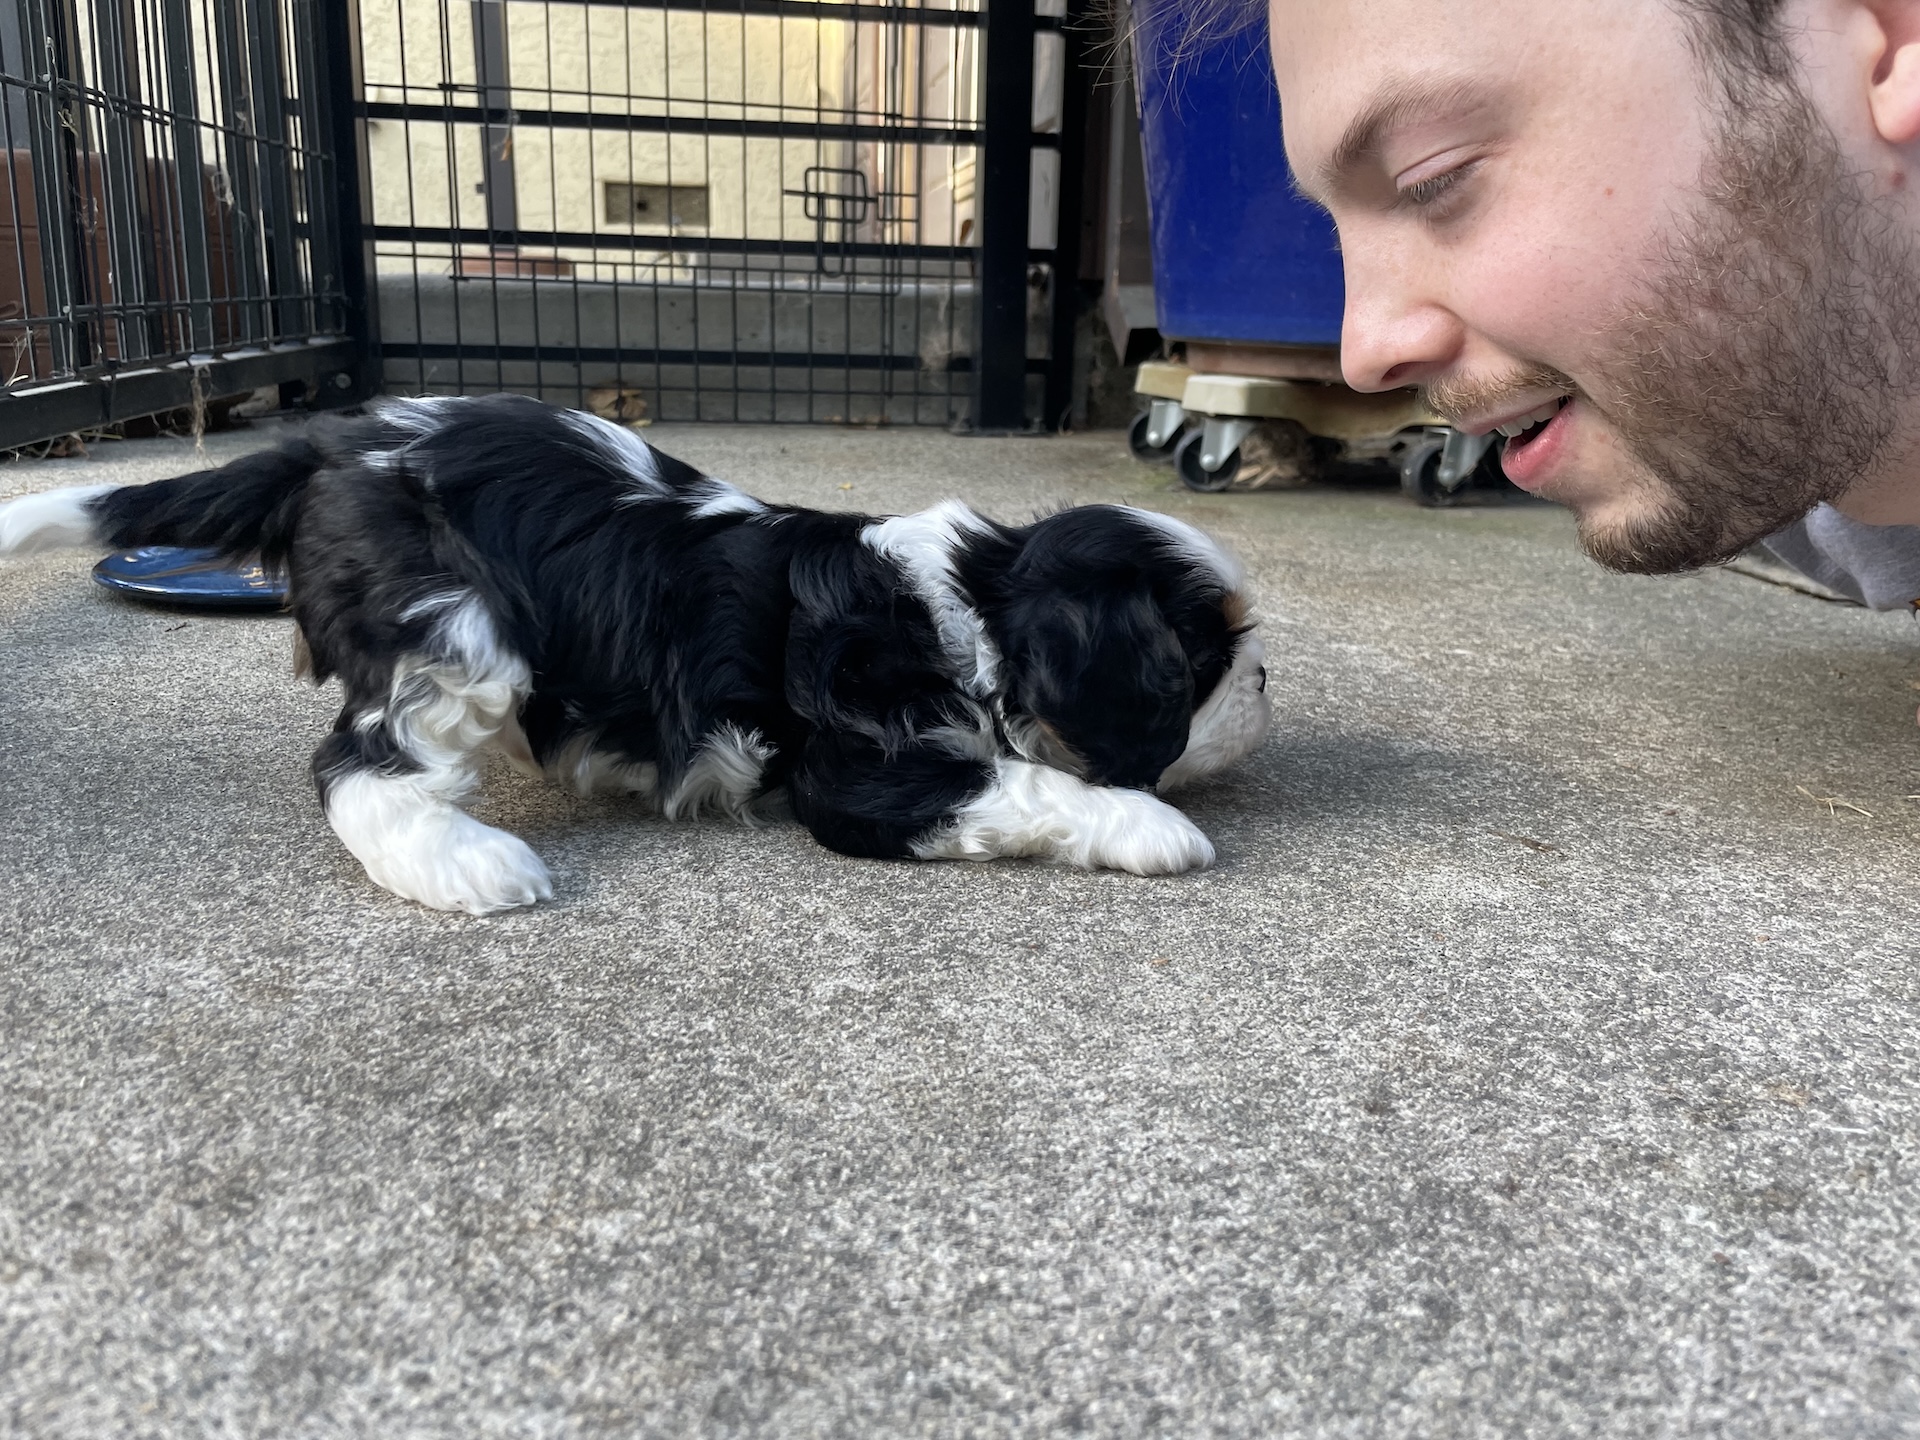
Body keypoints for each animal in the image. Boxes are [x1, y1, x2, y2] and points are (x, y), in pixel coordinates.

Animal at [0, 394, 1271, 913]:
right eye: (1199, 665)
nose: (1262, 684)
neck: (965, 599)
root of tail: (325, 446)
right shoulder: (863, 773)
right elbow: (1031, 784)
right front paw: (1154, 825)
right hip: (457, 629)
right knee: (359, 769)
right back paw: (466, 865)